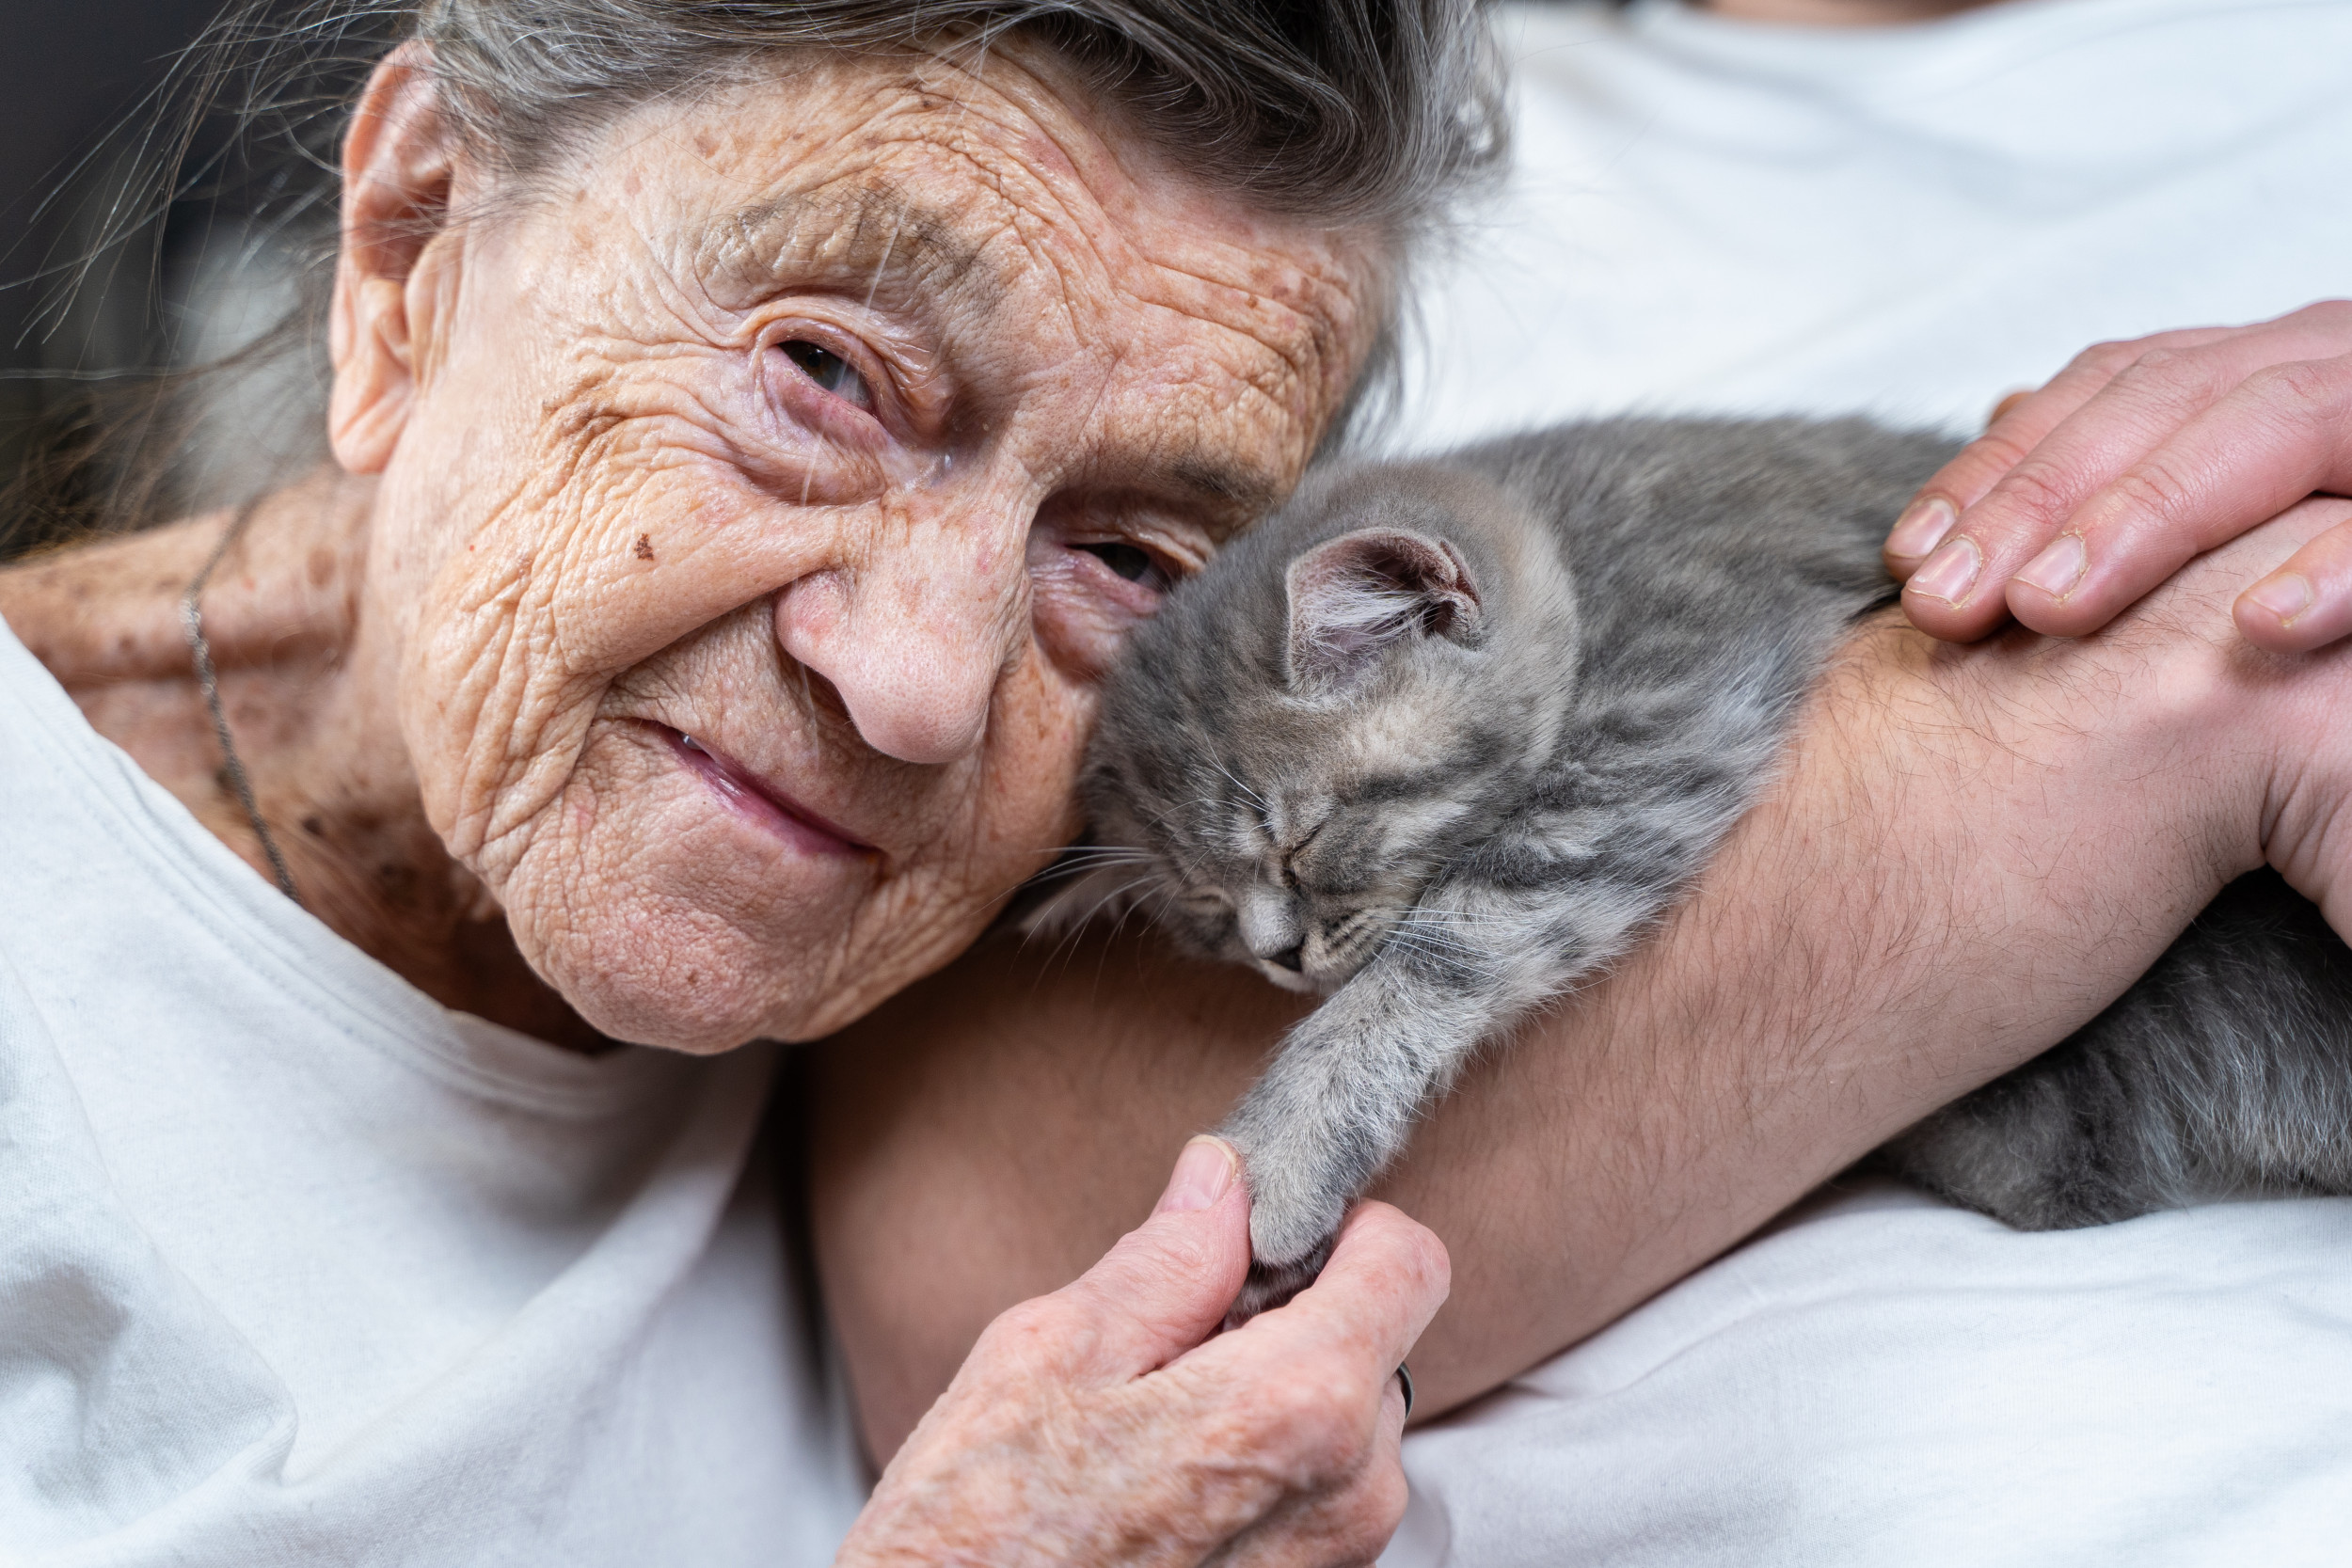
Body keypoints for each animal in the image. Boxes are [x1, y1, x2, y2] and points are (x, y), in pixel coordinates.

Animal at [1058, 420, 2352, 1325]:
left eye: (1302, 841)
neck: (1569, 543)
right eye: (1206, 913)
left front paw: (1284, 1140)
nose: (1275, 956)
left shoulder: (1660, 715)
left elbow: (1455, 939)